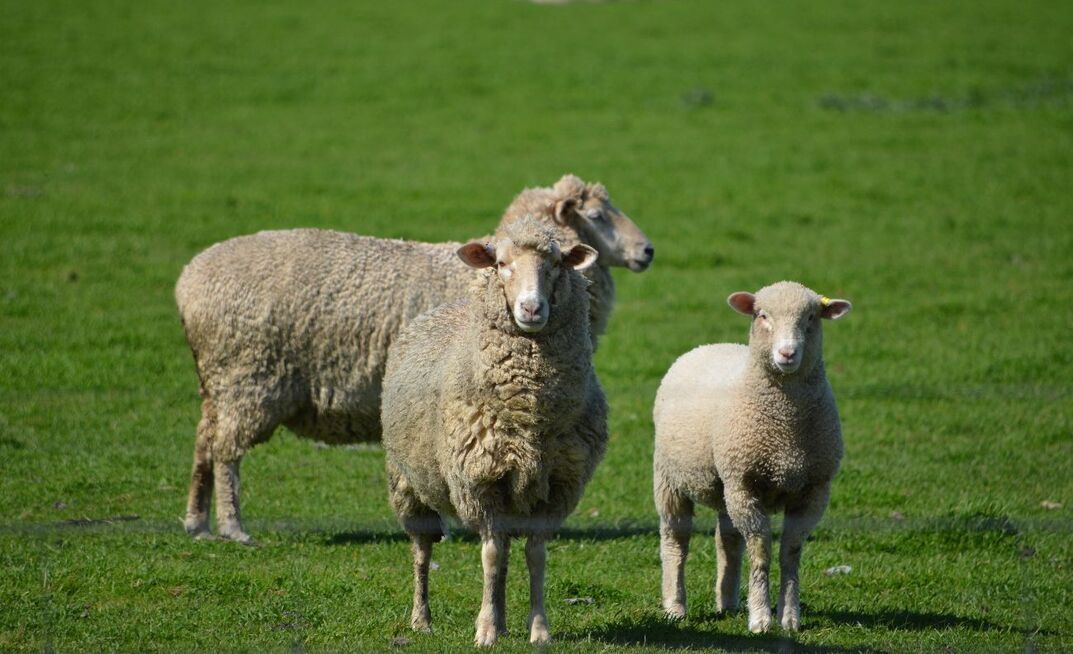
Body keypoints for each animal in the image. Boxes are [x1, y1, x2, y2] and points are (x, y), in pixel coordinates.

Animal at [175, 175, 650, 544]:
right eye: (598, 216)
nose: (647, 251)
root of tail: (187, 282)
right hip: (248, 378)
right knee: (226, 452)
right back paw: (233, 527)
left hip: (218, 382)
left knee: (203, 441)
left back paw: (197, 523)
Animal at [381, 217, 607, 646]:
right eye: (501, 263)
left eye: (556, 263)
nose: (532, 308)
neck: (529, 417)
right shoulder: (480, 482)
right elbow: (489, 555)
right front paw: (484, 630)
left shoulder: (556, 486)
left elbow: (533, 556)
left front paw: (538, 629)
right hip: (407, 482)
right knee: (422, 551)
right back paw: (422, 619)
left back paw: (501, 621)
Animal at [652, 281, 852, 633]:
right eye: (762, 315)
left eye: (811, 317)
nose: (787, 353)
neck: (786, 428)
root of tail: (708, 345)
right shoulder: (745, 485)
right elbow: (760, 552)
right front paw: (760, 618)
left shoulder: (814, 490)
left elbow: (790, 552)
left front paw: (789, 617)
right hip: (672, 480)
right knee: (676, 542)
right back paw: (675, 606)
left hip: (725, 488)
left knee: (727, 542)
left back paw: (728, 602)